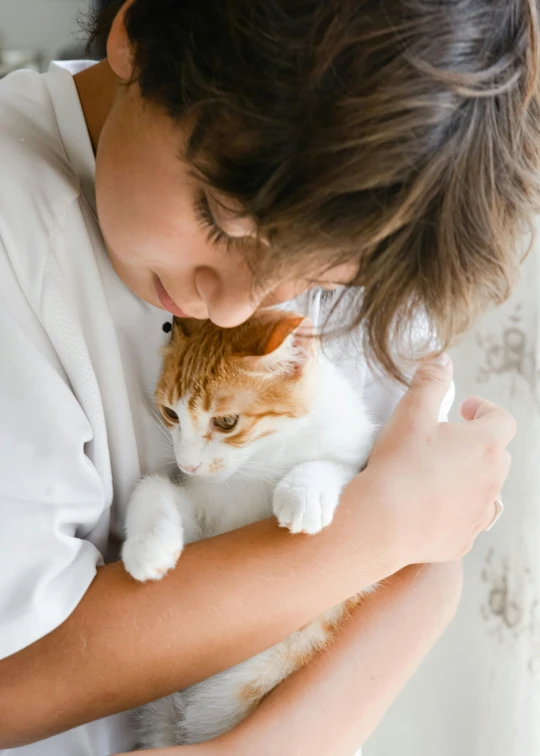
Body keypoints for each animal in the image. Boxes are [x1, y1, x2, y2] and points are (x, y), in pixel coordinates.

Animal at [122, 310, 376, 748]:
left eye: (226, 421)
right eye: (171, 414)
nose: (187, 463)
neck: (260, 458)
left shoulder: (355, 451)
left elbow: (336, 464)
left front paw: (304, 491)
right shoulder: (205, 510)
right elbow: (154, 486)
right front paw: (147, 546)